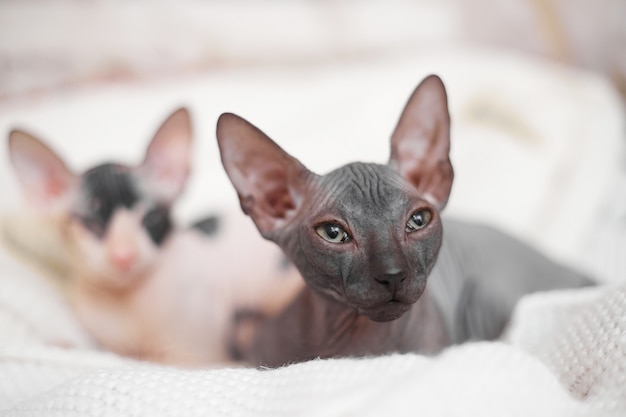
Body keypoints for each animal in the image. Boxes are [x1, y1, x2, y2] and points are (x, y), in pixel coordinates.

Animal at [9, 107, 302, 364]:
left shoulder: (195, 358)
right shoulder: (108, 343)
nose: (124, 256)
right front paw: (64, 345)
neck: (124, 302)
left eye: (150, 218)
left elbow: (149, 359)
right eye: (91, 224)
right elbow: (99, 350)